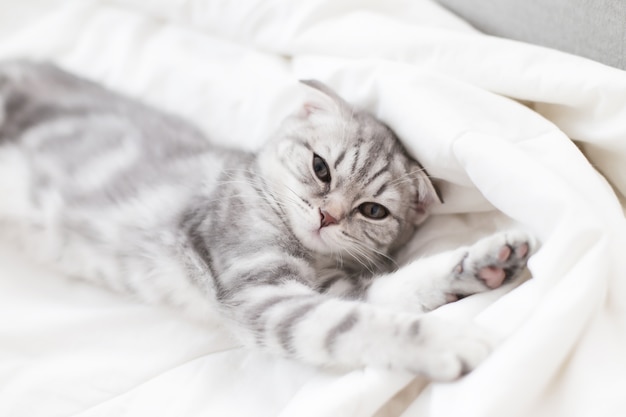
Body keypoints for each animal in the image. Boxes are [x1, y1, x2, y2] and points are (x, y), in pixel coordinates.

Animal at [0, 60, 532, 382]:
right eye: (321, 168)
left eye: (372, 210)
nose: (327, 215)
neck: (309, 255)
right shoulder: (261, 292)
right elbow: (351, 324)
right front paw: (452, 338)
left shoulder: (340, 287)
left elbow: (402, 288)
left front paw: (486, 262)